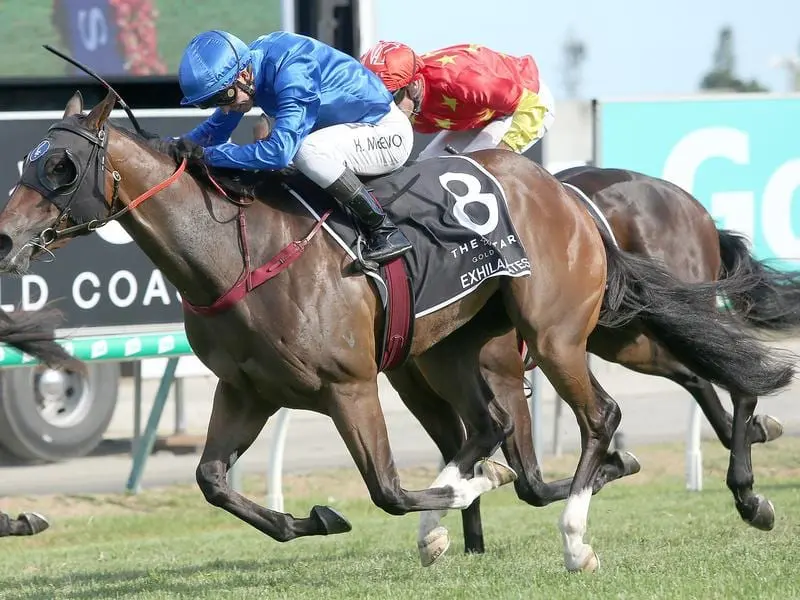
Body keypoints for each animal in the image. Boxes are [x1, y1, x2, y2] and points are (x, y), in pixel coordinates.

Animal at [406, 166, 800, 564]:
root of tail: (690, 204)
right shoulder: (419, 383)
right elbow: (493, 464)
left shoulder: (502, 371)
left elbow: (528, 479)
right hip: (624, 334)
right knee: (701, 373)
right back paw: (755, 436)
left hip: (666, 313)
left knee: (735, 370)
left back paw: (748, 494)